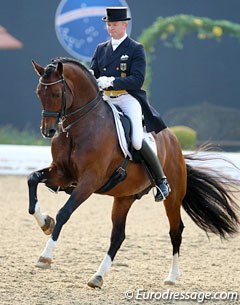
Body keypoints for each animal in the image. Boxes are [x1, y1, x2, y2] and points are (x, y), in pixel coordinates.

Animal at [28, 57, 240, 288]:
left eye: (57, 94)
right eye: (38, 93)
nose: (48, 131)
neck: (79, 128)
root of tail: (173, 141)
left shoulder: (89, 181)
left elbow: (64, 212)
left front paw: (45, 256)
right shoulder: (62, 174)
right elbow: (32, 180)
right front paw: (45, 222)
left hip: (173, 197)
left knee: (176, 231)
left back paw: (172, 277)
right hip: (124, 197)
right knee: (118, 236)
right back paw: (98, 277)